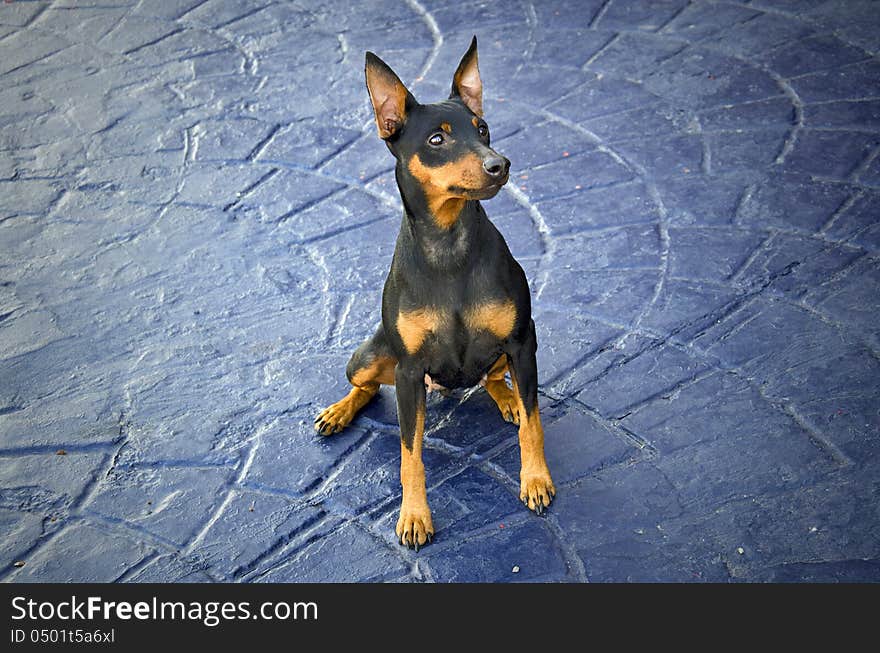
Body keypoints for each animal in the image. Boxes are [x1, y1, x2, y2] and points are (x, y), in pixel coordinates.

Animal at [316, 38, 552, 552]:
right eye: (437, 140)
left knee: (493, 379)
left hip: (509, 350)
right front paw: (414, 515)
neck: (449, 248)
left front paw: (536, 480)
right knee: (365, 386)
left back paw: (506, 399)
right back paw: (339, 412)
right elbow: (411, 455)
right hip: (370, 355)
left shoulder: (522, 342)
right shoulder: (408, 371)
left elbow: (534, 424)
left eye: (482, 129)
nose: (499, 164)